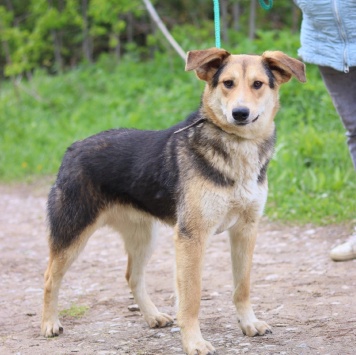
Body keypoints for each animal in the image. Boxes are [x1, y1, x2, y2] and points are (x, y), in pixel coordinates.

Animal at [41, 48, 304, 355]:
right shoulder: (191, 237)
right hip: (72, 234)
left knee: (132, 276)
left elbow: (242, 286)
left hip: (144, 237)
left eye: (258, 84)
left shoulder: (246, 230)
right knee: (50, 278)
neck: (238, 148)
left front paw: (249, 323)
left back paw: (153, 316)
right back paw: (49, 324)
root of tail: (73, 148)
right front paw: (194, 342)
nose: (240, 113)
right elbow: (191, 298)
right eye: (227, 83)